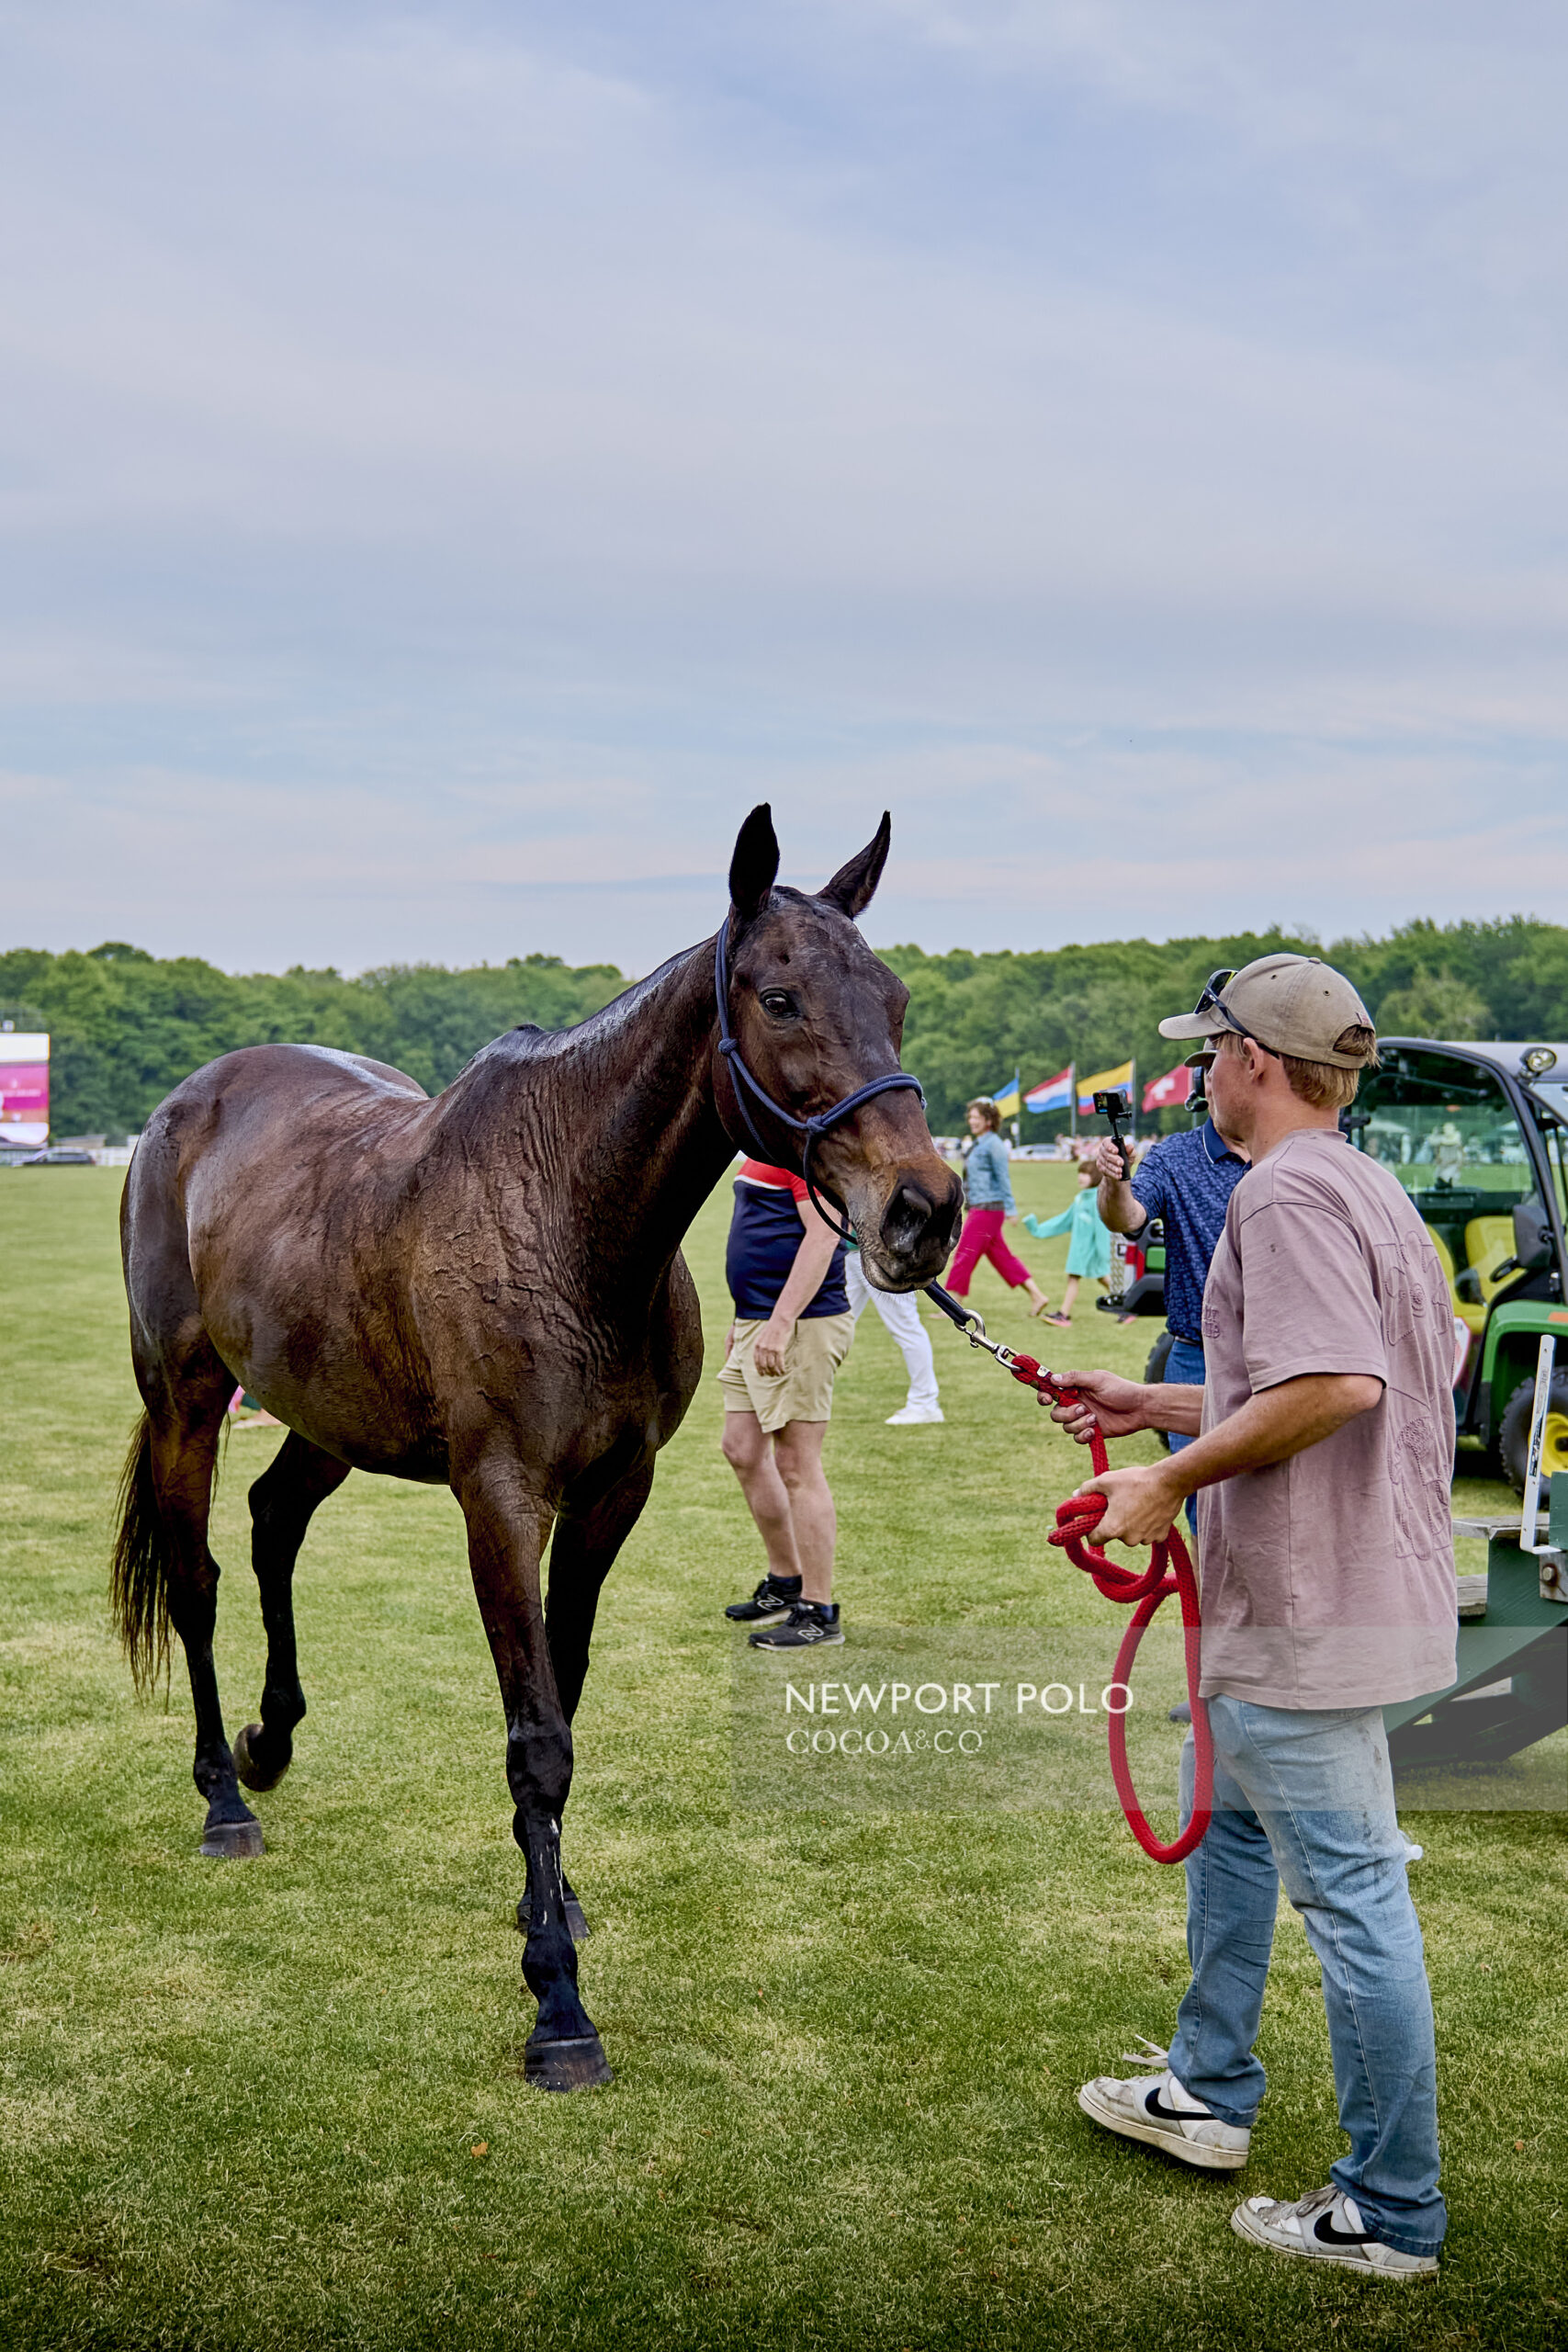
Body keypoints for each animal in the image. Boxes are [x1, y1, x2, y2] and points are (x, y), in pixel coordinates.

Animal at [111, 806, 961, 2089]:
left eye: (896, 997)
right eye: (779, 998)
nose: (924, 1210)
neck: (567, 1215)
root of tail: (186, 1106)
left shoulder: (614, 1491)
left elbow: (565, 1689)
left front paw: (548, 1902)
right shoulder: (501, 1498)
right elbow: (537, 1737)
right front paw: (558, 2000)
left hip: (327, 1414)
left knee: (271, 1524)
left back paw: (270, 1740)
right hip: (187, 1398)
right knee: (198, 1574)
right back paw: (224, 1795)